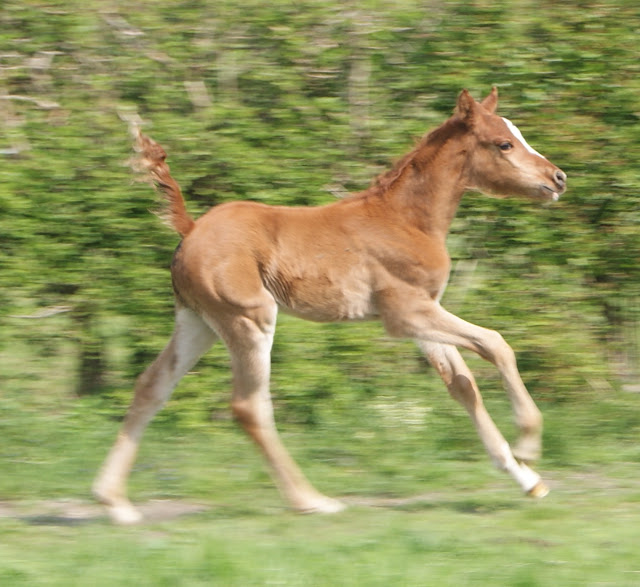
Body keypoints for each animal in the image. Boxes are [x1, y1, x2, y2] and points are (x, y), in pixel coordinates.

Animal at [94, 88, 564, 524]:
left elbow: (462, 385)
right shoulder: (405, 313)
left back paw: (114, 502)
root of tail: (190, 230)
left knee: (152, 386)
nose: (558, 178)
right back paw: (311, 500)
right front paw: (528, 442)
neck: (405, 219)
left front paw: (526, 479)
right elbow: (496, 343)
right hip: (249, 319)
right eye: (504, 143)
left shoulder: (424, 315)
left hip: (199, 322)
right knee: (249, 406)